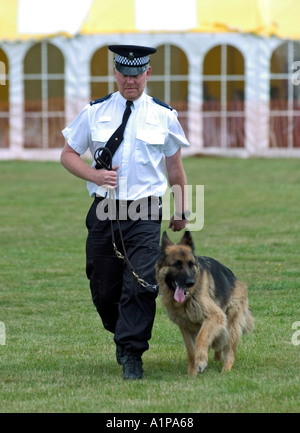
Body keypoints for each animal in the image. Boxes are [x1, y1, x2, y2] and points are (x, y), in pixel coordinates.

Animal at [156, 230, 254, 374]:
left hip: (230, 323)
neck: (187, 299)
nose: (190, 282)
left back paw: (225, 370)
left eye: (191, 264)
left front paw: (201, 361)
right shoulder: (185, 326)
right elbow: (191, 350)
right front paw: (192, 373)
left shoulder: (215, 316)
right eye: (177, 265)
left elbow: (201, 338)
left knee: (229, 349)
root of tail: (235, 278)